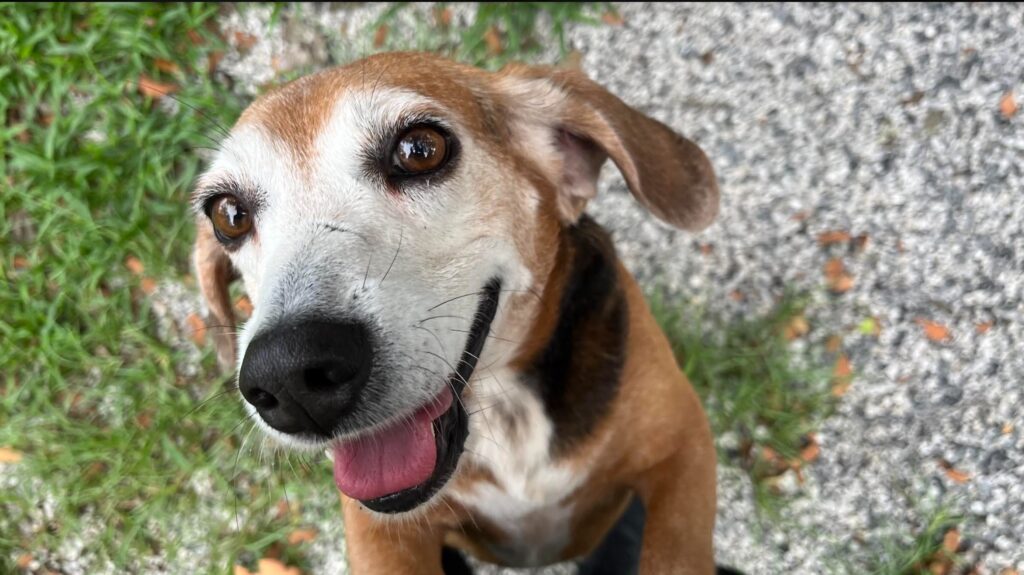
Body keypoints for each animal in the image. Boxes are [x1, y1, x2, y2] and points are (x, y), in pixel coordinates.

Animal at [192, 51, 720, 568]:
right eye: (228, 214)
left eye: (420, 150)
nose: (288, 374)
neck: (504, 409)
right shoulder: (379, 530)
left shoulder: (684, 447)